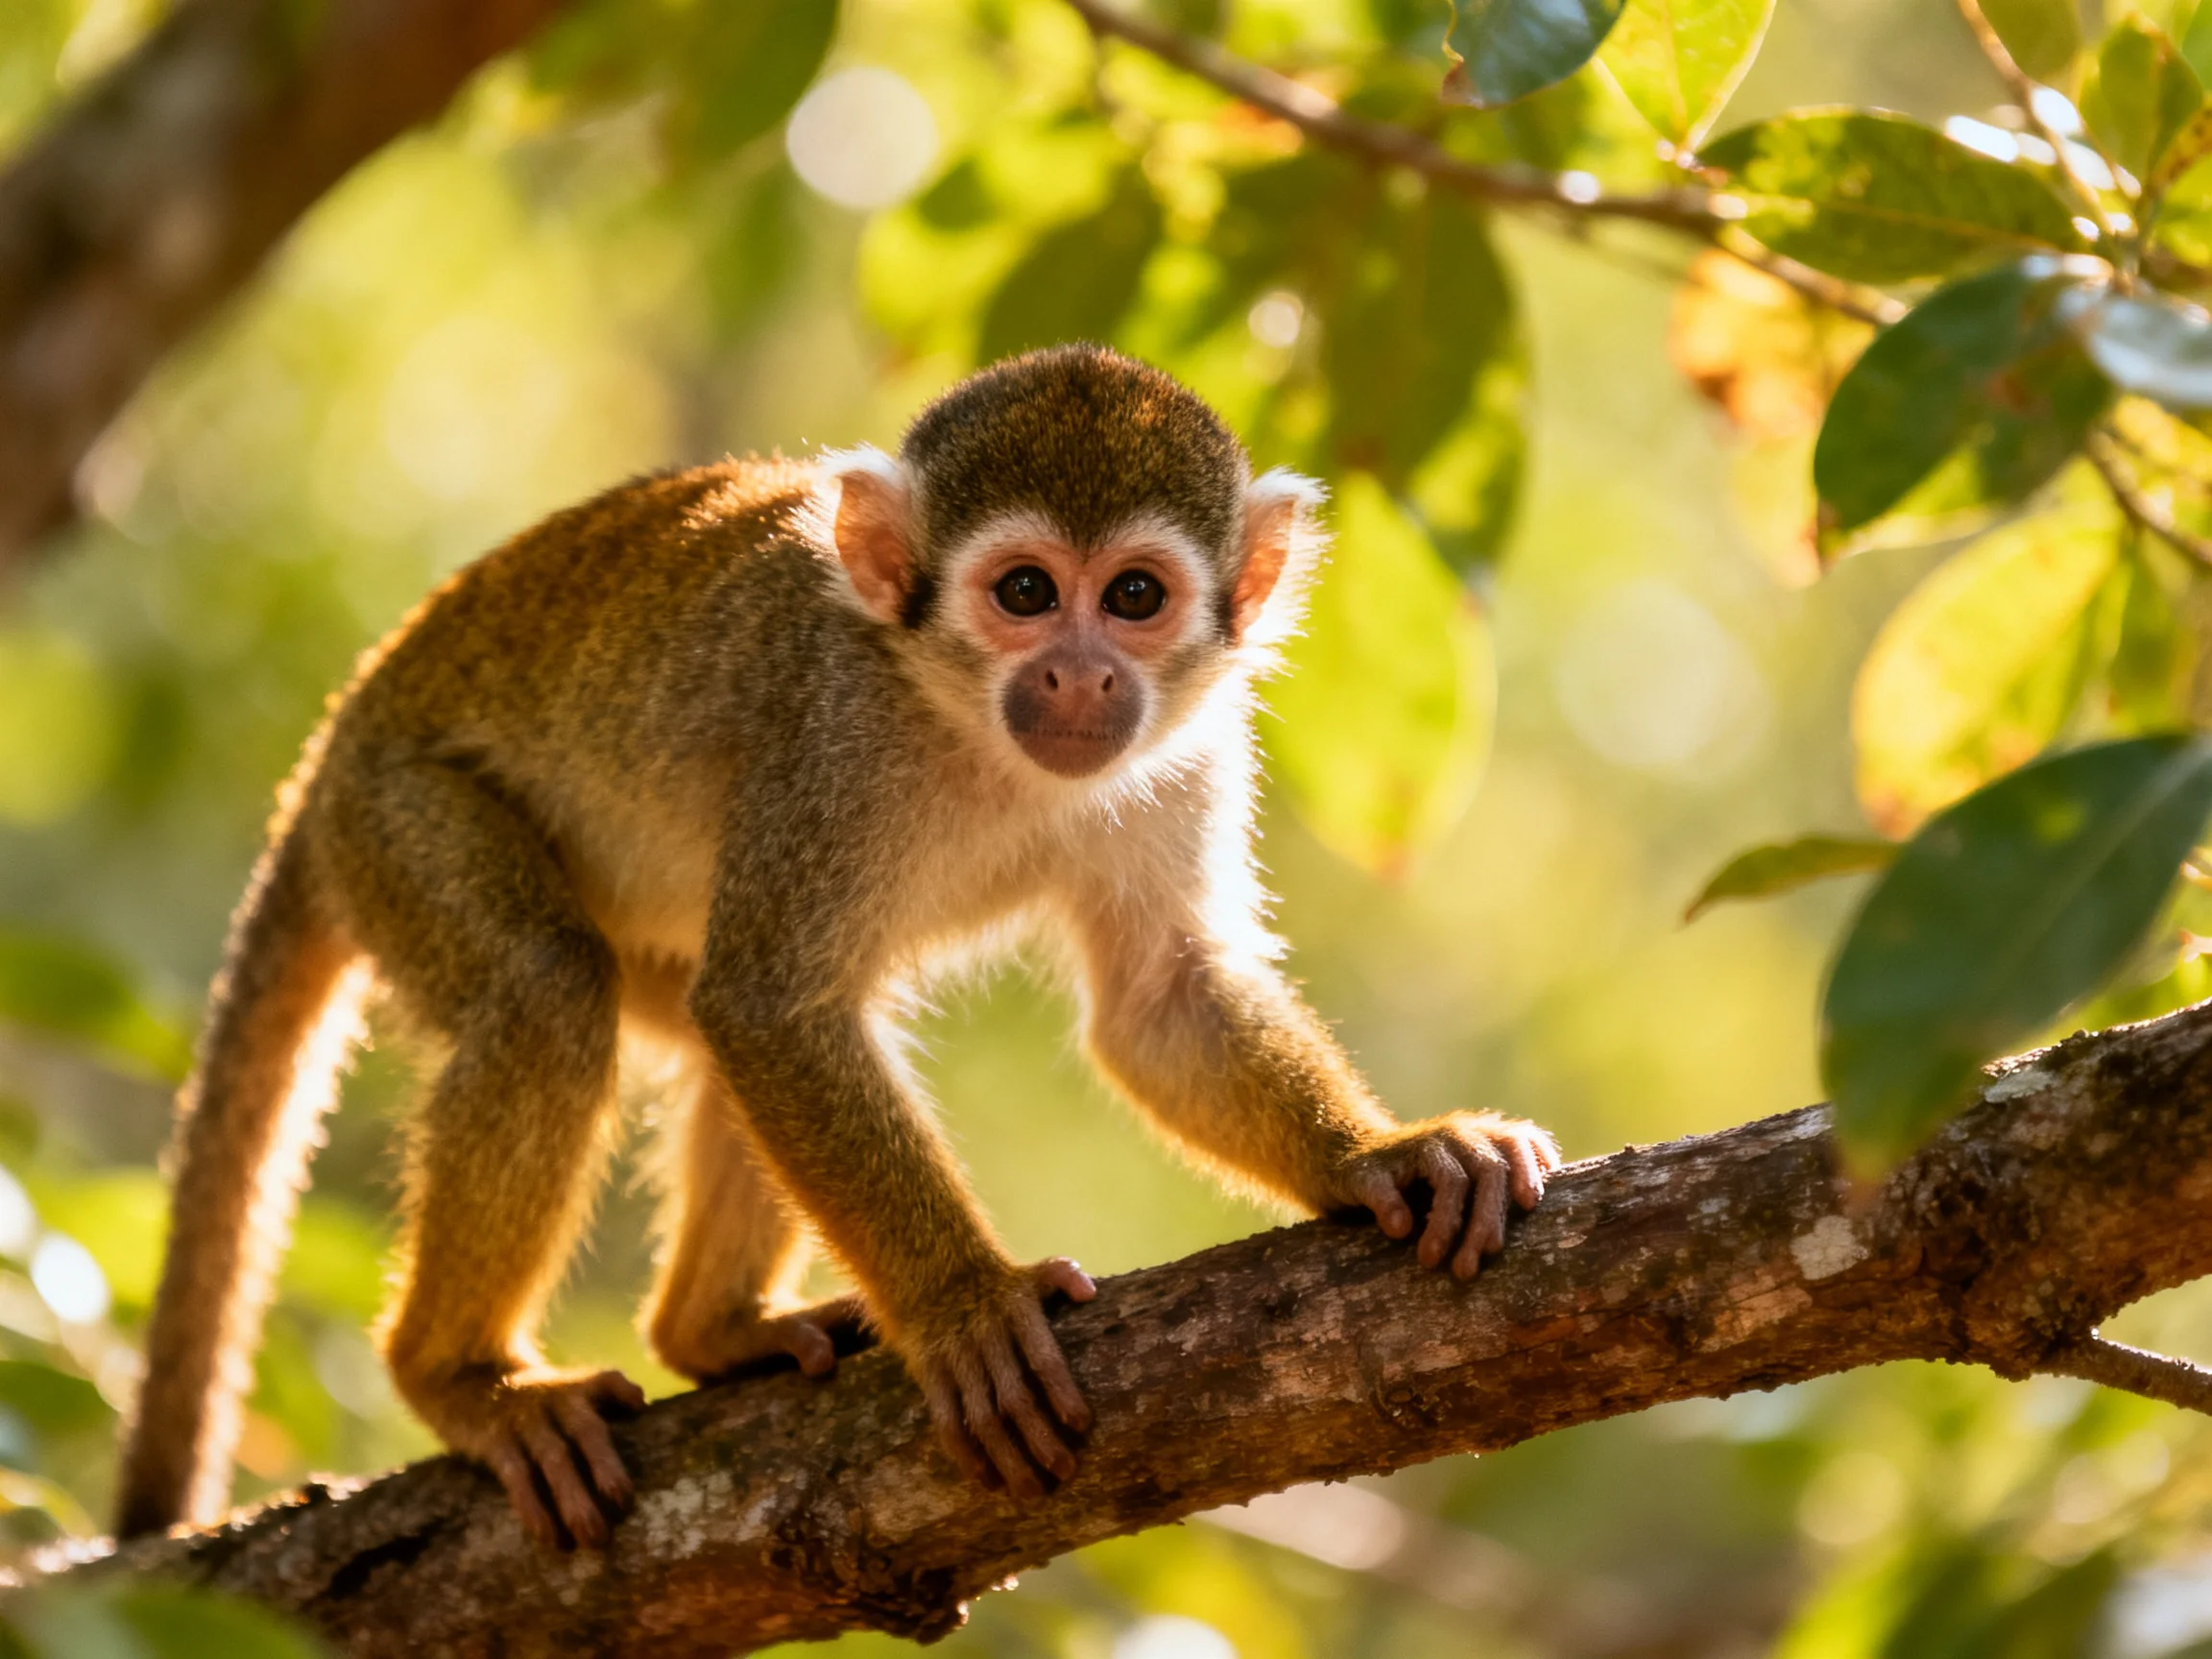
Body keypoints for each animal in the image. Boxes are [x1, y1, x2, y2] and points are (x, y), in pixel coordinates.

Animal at [113, 344, 1562, 1549]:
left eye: (1136, 597)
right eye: (1024, 593)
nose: (1082, 677)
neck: (962, 718)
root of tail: (329, 750)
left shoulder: (1189, 749)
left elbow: (1158, 1004)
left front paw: (1381, 1156)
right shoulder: (835, 730)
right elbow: (771, 1009)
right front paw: (964, 1307)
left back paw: (712, 1331)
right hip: (400, 815)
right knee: (556, 989)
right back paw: (461, 1378)